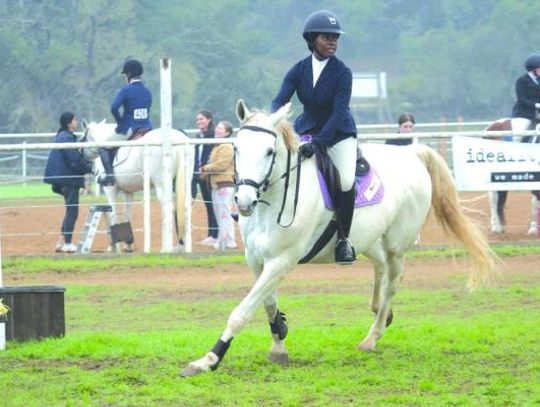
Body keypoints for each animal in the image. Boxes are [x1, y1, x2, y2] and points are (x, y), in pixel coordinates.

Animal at [81, 120, 194, 252]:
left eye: (83, 138)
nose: (82, 157)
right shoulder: (128, 192)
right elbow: (127, 214)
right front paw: (128, 244)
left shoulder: (110, 189)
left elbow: (113, 213)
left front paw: (115, 246)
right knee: (185, 206)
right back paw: (184, 245)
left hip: (161, 186)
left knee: (169, 208)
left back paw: (167, 247)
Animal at [181, 100, 498, 378]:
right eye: (236, 148)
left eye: (270, 151)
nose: (244, 201)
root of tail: (412, 154)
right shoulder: (256, 259)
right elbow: (268, 303)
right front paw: (279, 344)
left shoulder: (281, 261)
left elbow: (243, 310)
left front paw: (208, 360)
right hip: (368, 239)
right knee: (380, 268)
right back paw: (380, 311)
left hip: (396, 244)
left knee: (393, 281)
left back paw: (372, 336)